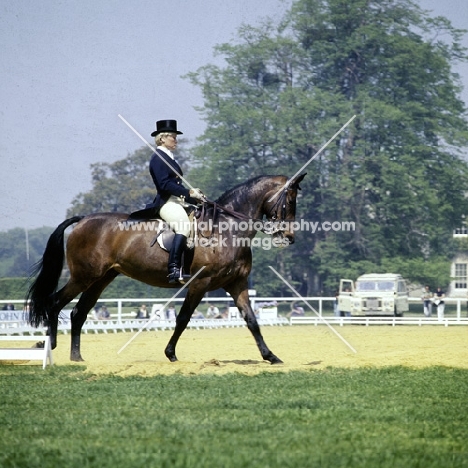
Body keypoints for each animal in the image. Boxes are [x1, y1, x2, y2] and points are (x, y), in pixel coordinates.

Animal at [25, 174, 306, 364]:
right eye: (290, 201)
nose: (289, 237)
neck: (226, 230)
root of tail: (83, 219)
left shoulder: (236, 284)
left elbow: (251, 320)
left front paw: (271, 356)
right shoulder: (200, 283)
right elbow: (183, 319)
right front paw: (170, 354)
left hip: (101, 279)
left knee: (78, 313)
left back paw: (77, 356)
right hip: (83, 276)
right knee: (55, 303)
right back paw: (49, 346)